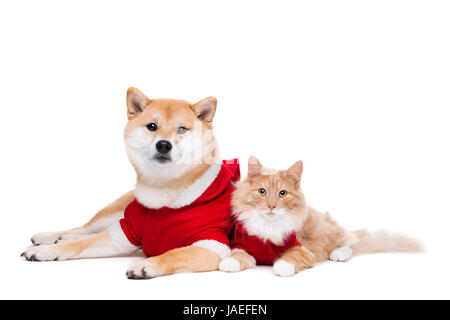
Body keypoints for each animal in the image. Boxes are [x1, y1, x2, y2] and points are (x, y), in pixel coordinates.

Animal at [22, 88, 239, 280]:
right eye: (152, 126)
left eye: (182, 129)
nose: (163, 145)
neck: (162, 192)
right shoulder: (123, 233)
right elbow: (80, 245)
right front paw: (48, 250)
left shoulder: (212, 245)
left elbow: (174, 253)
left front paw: (147, 265)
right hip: (115, 213)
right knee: (84, 230)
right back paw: (49, 237)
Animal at [219, 156, 422, 276]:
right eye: (262, 192)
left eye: (282, 194)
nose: (271, 206)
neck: (269, 226)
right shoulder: (244, 246)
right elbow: (239, 257)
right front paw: (228, 263)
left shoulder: (302, 249)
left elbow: (292, 258)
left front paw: (282, 266)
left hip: (326, 231)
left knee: (350, 243)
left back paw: (339, 254)